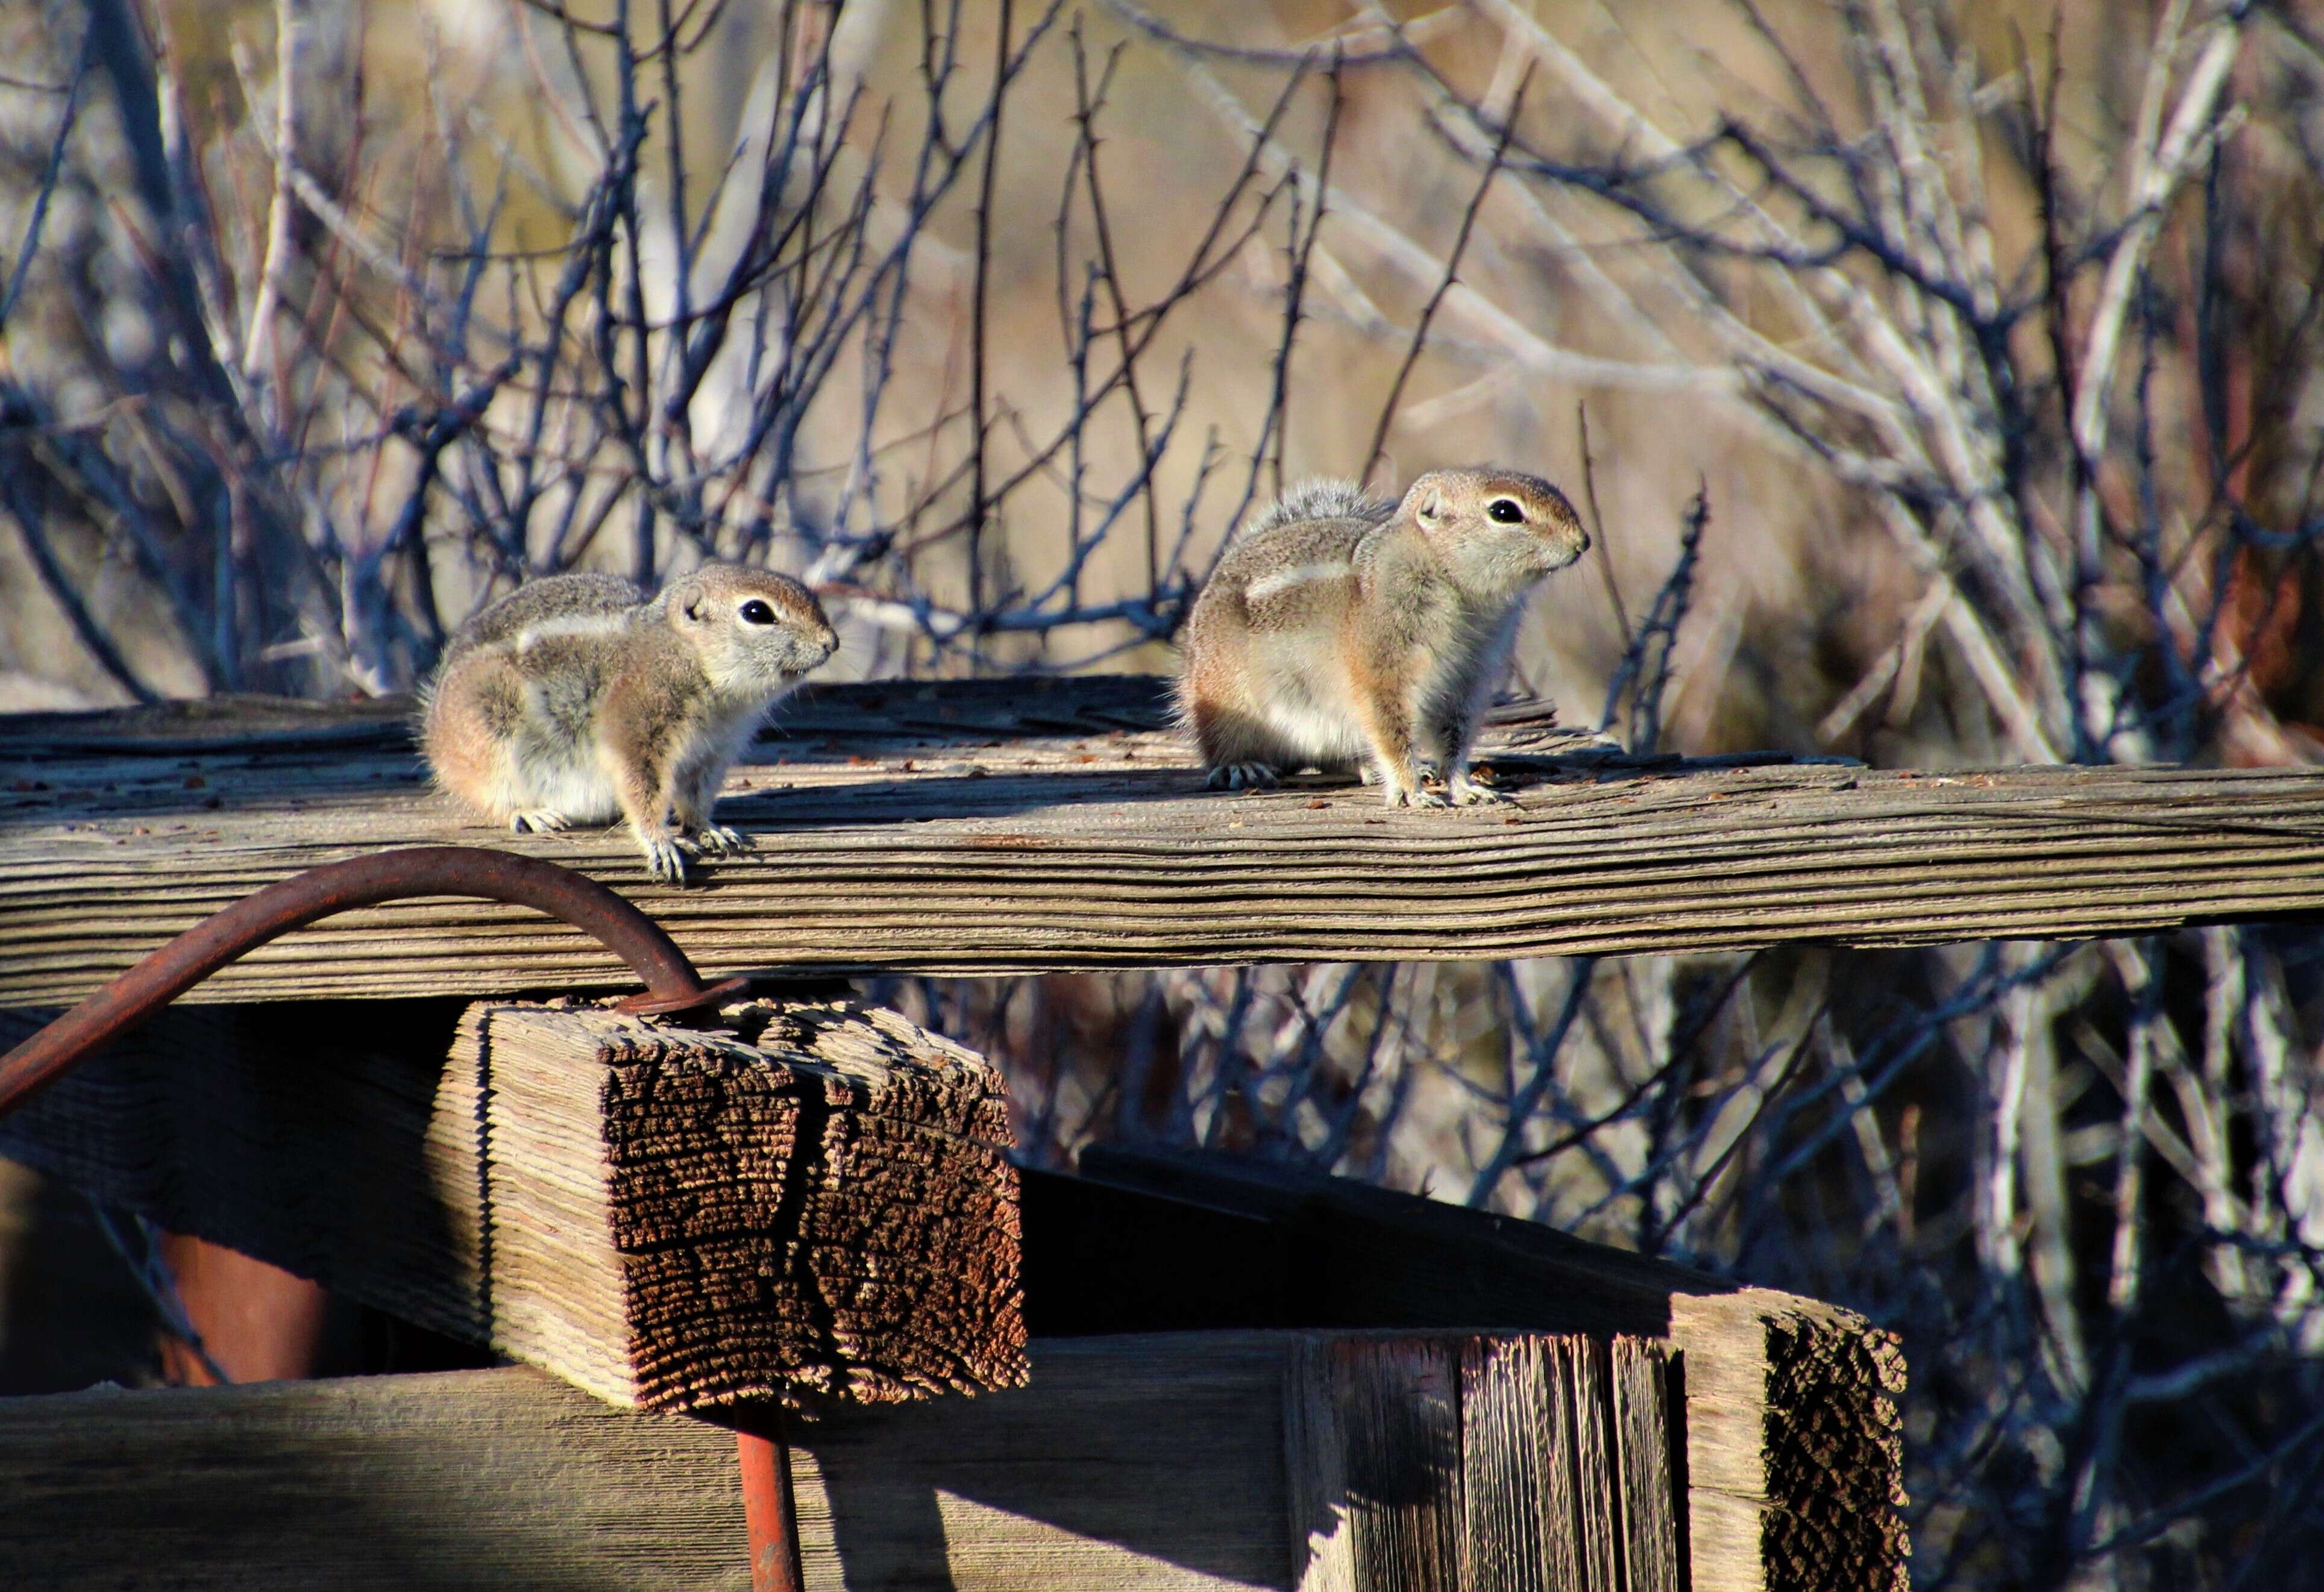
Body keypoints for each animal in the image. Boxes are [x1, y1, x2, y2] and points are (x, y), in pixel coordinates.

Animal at [422, 562, 841, 883]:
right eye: (757, 612)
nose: (832, 643)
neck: (686, 654)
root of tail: (434, 725)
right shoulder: (636, 728)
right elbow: (642, 788)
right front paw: (660, 841)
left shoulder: (711, 752)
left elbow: (696, 797)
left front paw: (708, 829)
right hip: (490, 731)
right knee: (490, 794)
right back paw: (529, 813)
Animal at [1180, 465, 1598, 799]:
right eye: (1504, 511)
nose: (1583, 541)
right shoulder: (1381, 670)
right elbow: (1390, 730)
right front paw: (1411, 792)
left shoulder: (1466, 680)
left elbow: (1455, 738)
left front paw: (1463, 786)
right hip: (1227, 694)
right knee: (1224, 745)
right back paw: (1241, 766)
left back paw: (1368, 765)